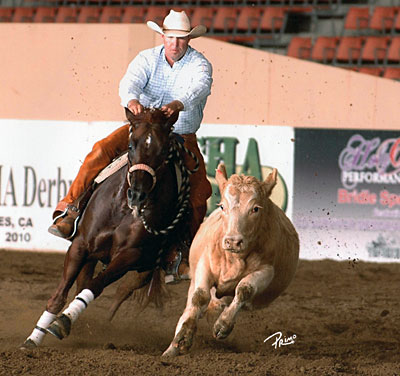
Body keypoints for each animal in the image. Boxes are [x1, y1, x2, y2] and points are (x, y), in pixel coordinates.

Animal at [21, 108, 197, 350]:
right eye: (131, 145)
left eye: (164, 151)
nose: (137, 194)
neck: (122, 207)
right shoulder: (81, 246)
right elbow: (60, 295)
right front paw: (34, 337)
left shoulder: (129, 256)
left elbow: (96, 286)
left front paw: (63, 322)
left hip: (146, 265)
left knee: (122, 290)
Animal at [163, 163, 300, 356]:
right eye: (222, 206)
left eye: (255, 208)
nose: (233, 241)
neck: (234, 259)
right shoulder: (204, 264)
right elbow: (200, 296)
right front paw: (183, 336)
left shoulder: (267, 270)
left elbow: (244, 289)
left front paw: (223, 324)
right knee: (193, 306)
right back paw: (172, 349)